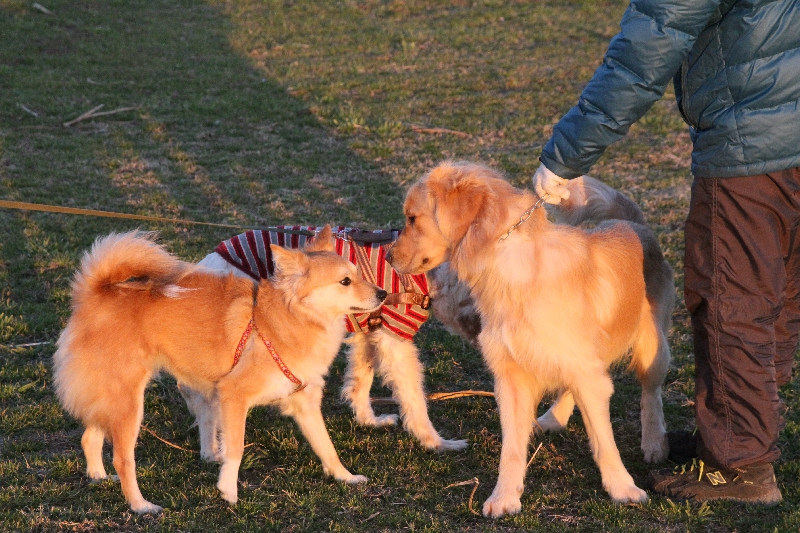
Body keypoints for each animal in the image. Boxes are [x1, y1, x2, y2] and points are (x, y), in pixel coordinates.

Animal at [52, 226, 386, 513]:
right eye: (345, 281)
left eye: (358, 275)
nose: (383, 294)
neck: (283, 318)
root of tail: (95, 293)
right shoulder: (233, 396)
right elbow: (235, 449)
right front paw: (229, 491)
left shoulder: (305, 403)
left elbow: (326, 446)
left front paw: (345, 477)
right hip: (128, 404)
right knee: (123, 459)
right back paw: (141, 505)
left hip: (110, 397)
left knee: (90, 437)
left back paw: (98, 477)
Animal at [187, 226, 475, 457]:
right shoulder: (395, 338)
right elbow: (414, 397)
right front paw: (437, 442)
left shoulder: (369, 333)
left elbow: (360, 381)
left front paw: (369, 420)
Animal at [387, 161, 674, 517]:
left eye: (412, 218)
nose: (388, 256)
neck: (509, 271)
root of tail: (633, 222)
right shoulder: (512, 378)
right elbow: (511, 449)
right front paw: (504, 497)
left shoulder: (585, 370)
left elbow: (603, 441)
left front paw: (623, 488)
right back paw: (553, 417)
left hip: (651, 349)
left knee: (651, 393)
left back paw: (654, 442)